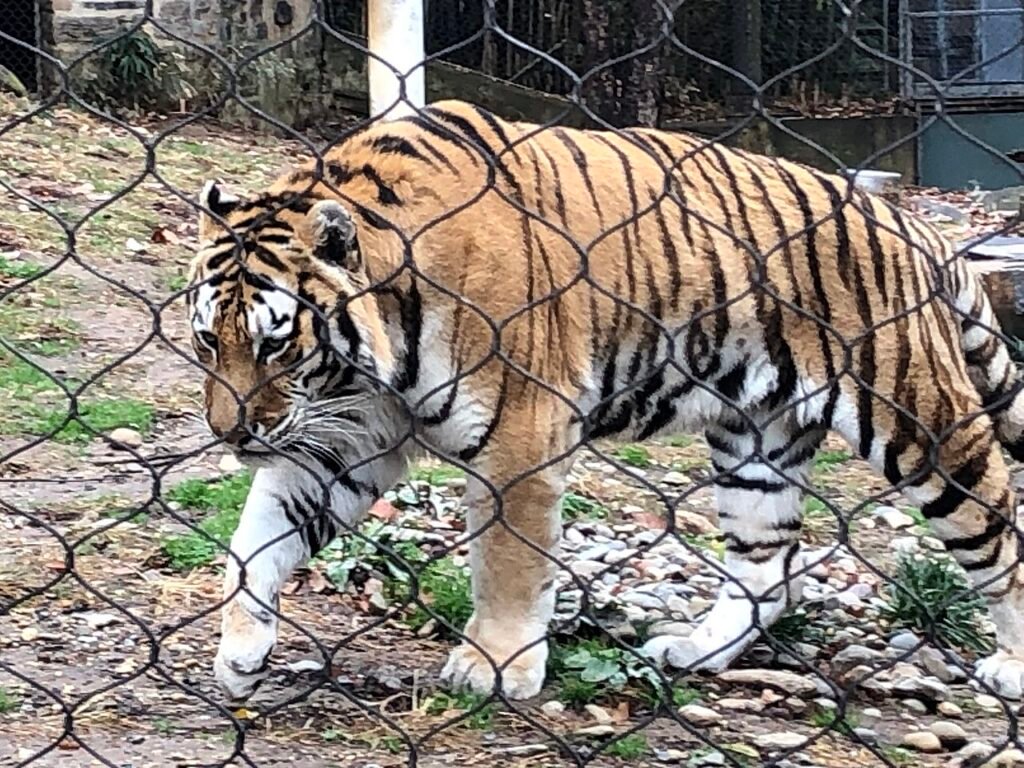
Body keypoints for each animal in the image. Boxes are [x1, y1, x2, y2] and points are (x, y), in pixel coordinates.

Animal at [187, 99, 1024, 703]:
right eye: (207, 342)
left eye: (275, 345)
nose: (232, 434)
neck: (369, 361)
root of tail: (911, 224)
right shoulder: (345, 438)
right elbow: (256, 540)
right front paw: (239, 652)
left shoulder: (519, 436)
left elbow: (509, 561)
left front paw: (494, 665)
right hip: (758, 441)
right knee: (766, 572)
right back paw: (693, 650)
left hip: (919, 421)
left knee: (995, 536)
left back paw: (1010, 666)